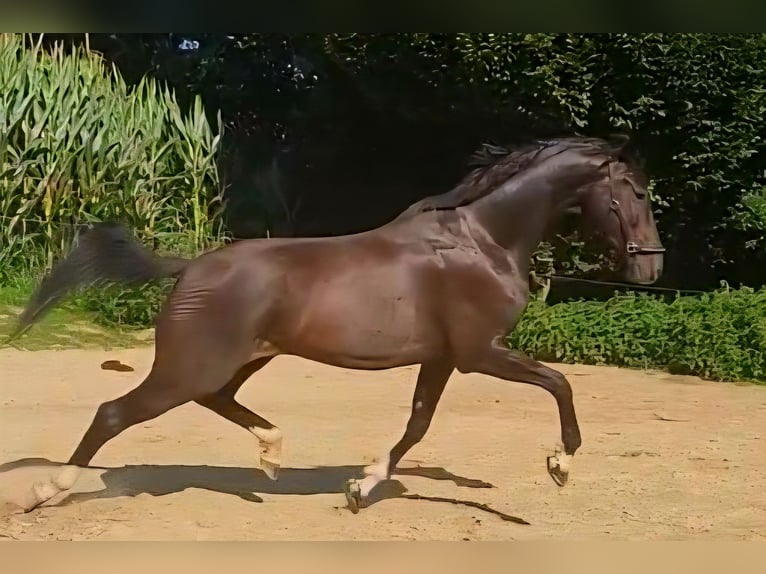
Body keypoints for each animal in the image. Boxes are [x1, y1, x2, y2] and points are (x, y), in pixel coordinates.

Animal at [11, 135, 665, 514]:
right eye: (634, 190)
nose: (651, 266)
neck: (482, 242)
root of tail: (190, 265)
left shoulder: (443, 357)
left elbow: (418, 425)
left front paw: (361, 486)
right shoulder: (480, 351)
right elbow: (560, 383)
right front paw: (561, 465)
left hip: (241, 360)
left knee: (216, 400)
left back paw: (272, 454)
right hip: (191, 366)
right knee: (113, 413)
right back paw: (47, 492)